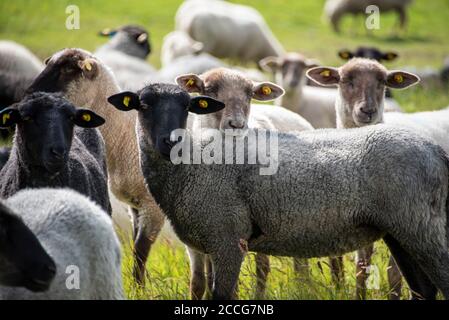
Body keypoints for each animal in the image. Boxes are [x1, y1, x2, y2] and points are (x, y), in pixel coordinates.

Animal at [28, 48, 166, 286]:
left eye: (68, 69)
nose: (30, 93)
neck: (124, 136)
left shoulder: (152, 205)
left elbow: (141, 249)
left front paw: (139, 286)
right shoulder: (135, 205)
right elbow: (135, 244)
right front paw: (139, 285)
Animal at [107, 82, 448, 300]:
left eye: (188, 108)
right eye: (144, 106)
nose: (171, 141)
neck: (192, 166)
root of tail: (435, 151)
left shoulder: (228, 238)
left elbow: (222, 295)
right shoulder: (211, 242)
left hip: (422, 225)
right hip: (401, 231)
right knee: (424, 290)